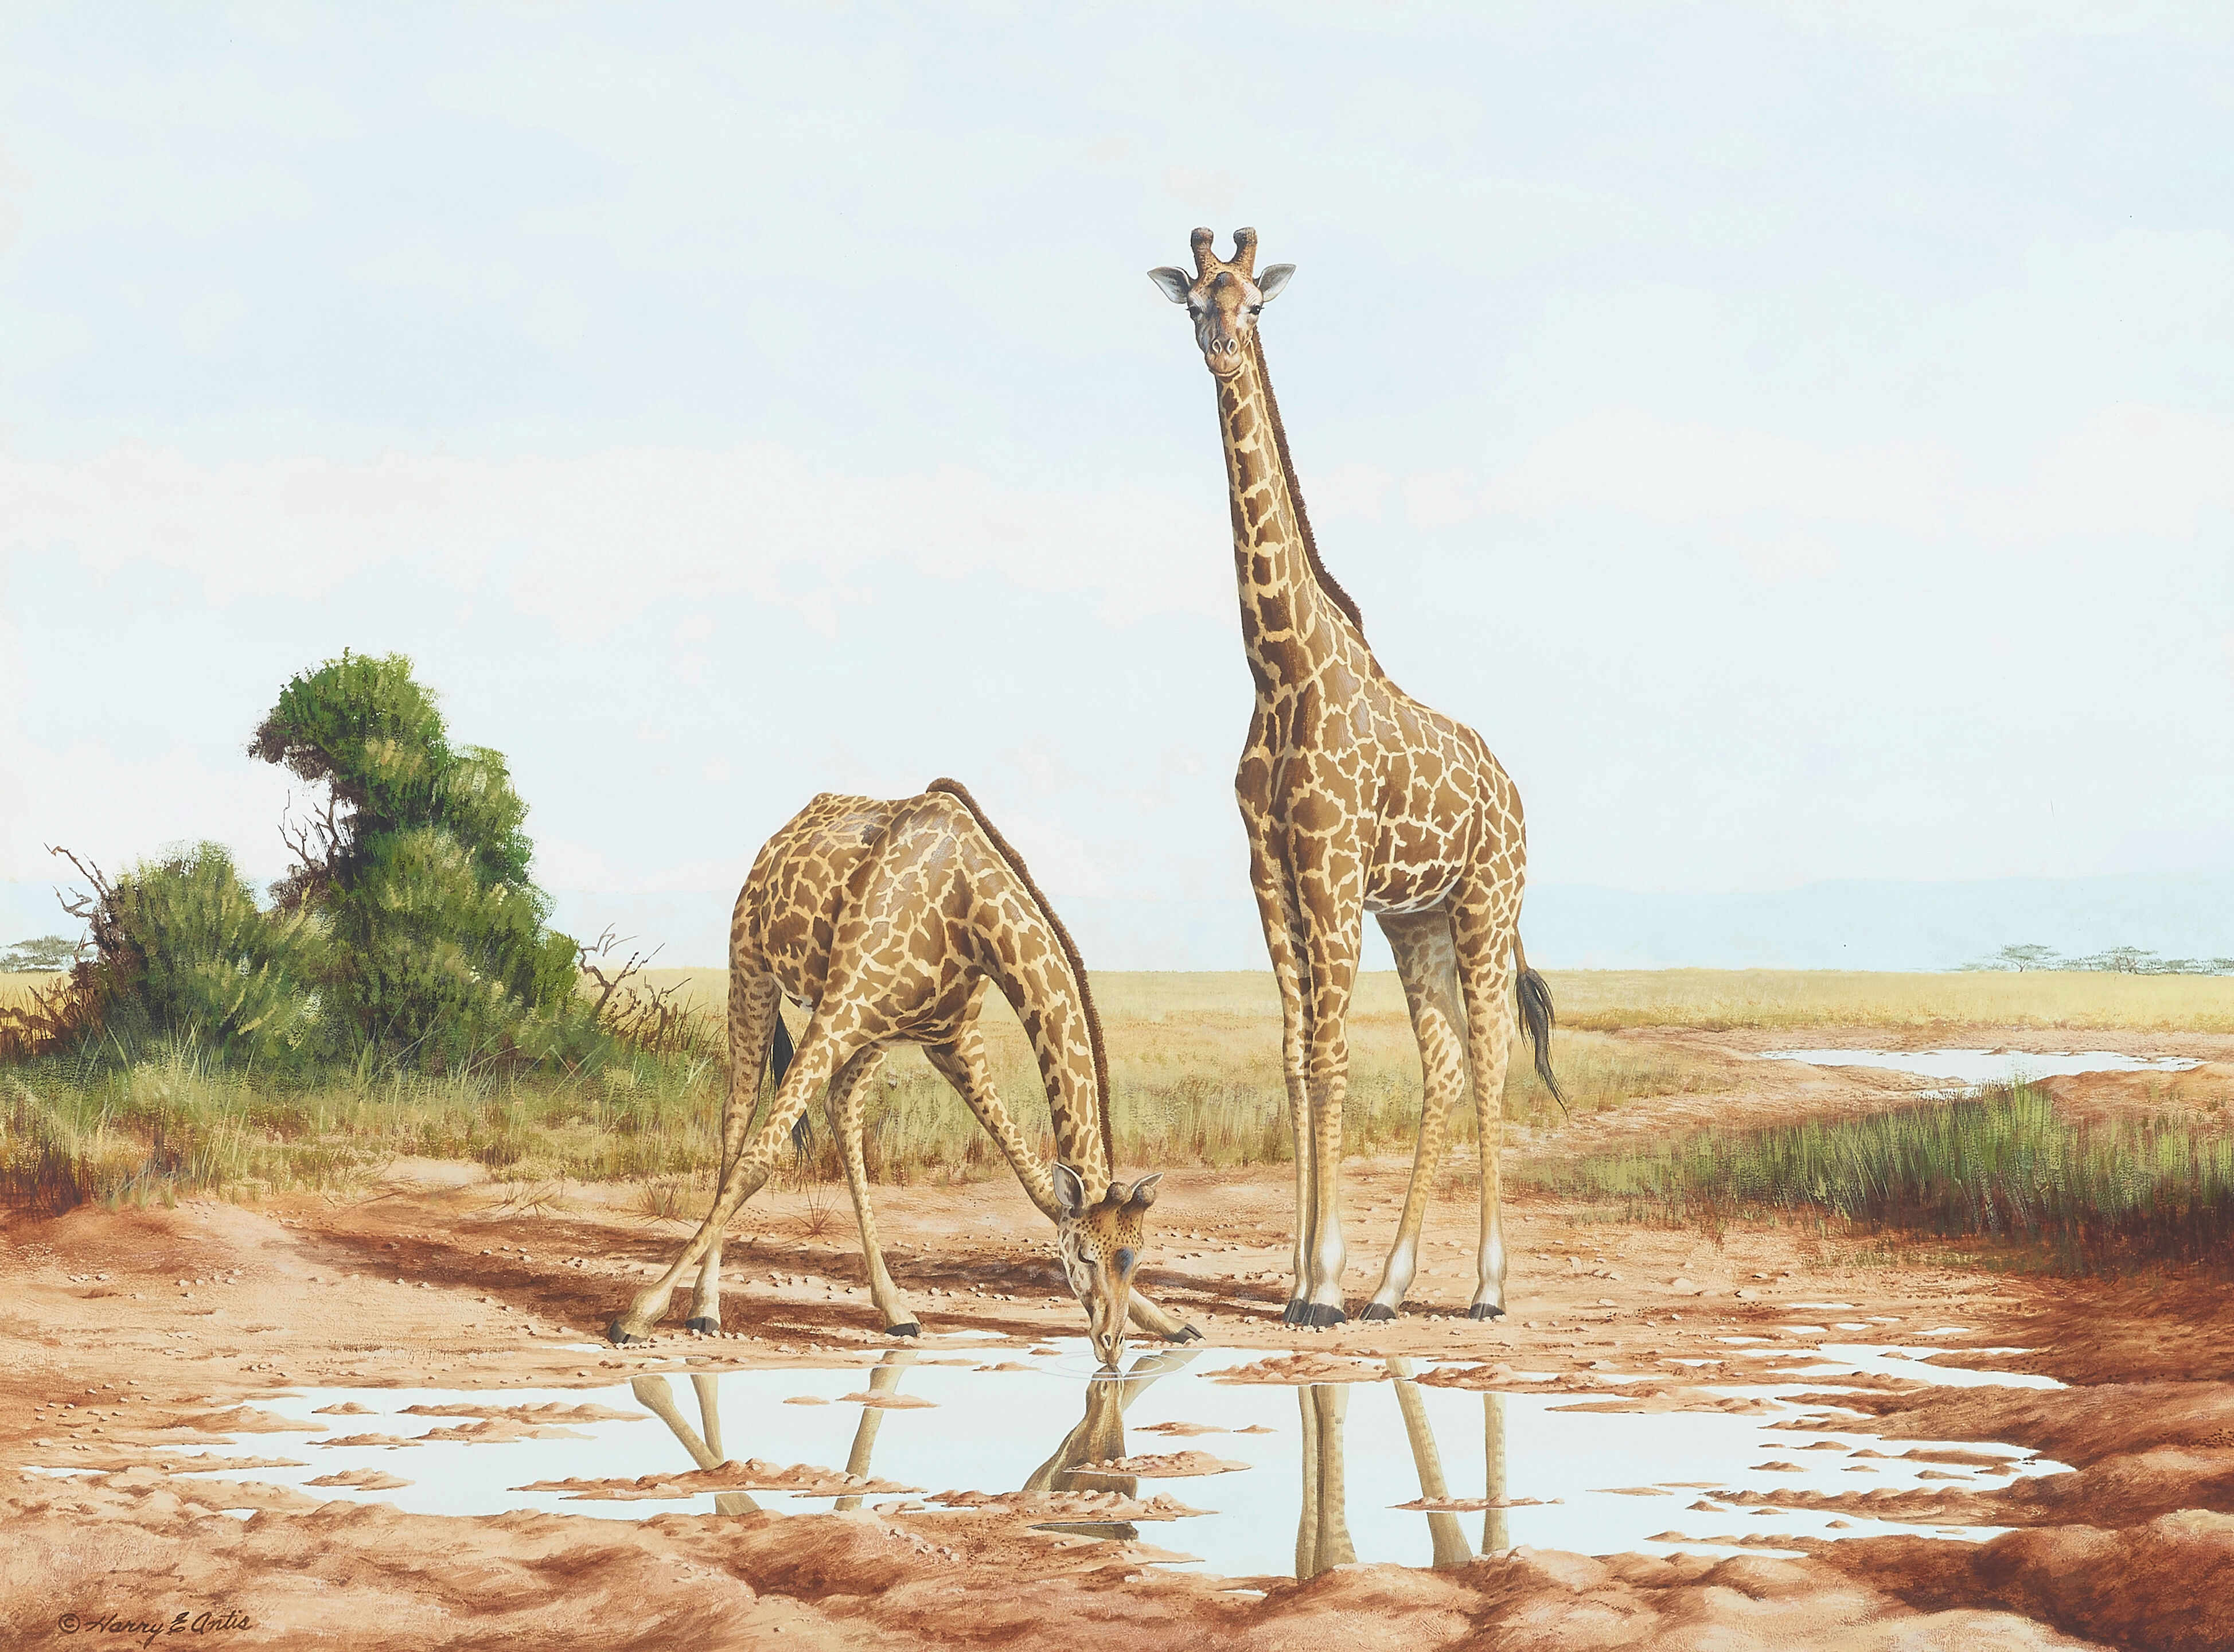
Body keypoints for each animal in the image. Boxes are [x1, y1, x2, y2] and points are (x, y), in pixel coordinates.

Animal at [603, 780, 1190, 1366]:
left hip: (873, 1035)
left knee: (841, 1109)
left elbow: (1037, 1184)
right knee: (739, 1114)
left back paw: (895, 1310)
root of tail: (784, 832)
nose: (1110, 1345)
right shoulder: (842, 1007)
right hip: (752, 968)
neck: (973, 909)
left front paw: (1168, 1323)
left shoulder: (953, 1039)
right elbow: (758, 1161)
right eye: (1085, 1254)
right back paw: (705, 1309)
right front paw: (637, 1315)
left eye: (1137, 1256)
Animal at [1150, 227, 1565, 1327]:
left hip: (1482, 906)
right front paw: (1302, 1279)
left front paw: (1322, 1285)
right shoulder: (1271, 871)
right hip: (1415, 921)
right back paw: (1393, 1287)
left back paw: (1484, 1289)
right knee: (1445, 1064)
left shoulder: (1330, 869)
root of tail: (1514, 795)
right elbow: (1296, 1059)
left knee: (1488, 1060)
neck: (1277, 665)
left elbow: (1332, 1059)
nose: (1219, 347)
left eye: (1253, 304)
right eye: (1194, 301)